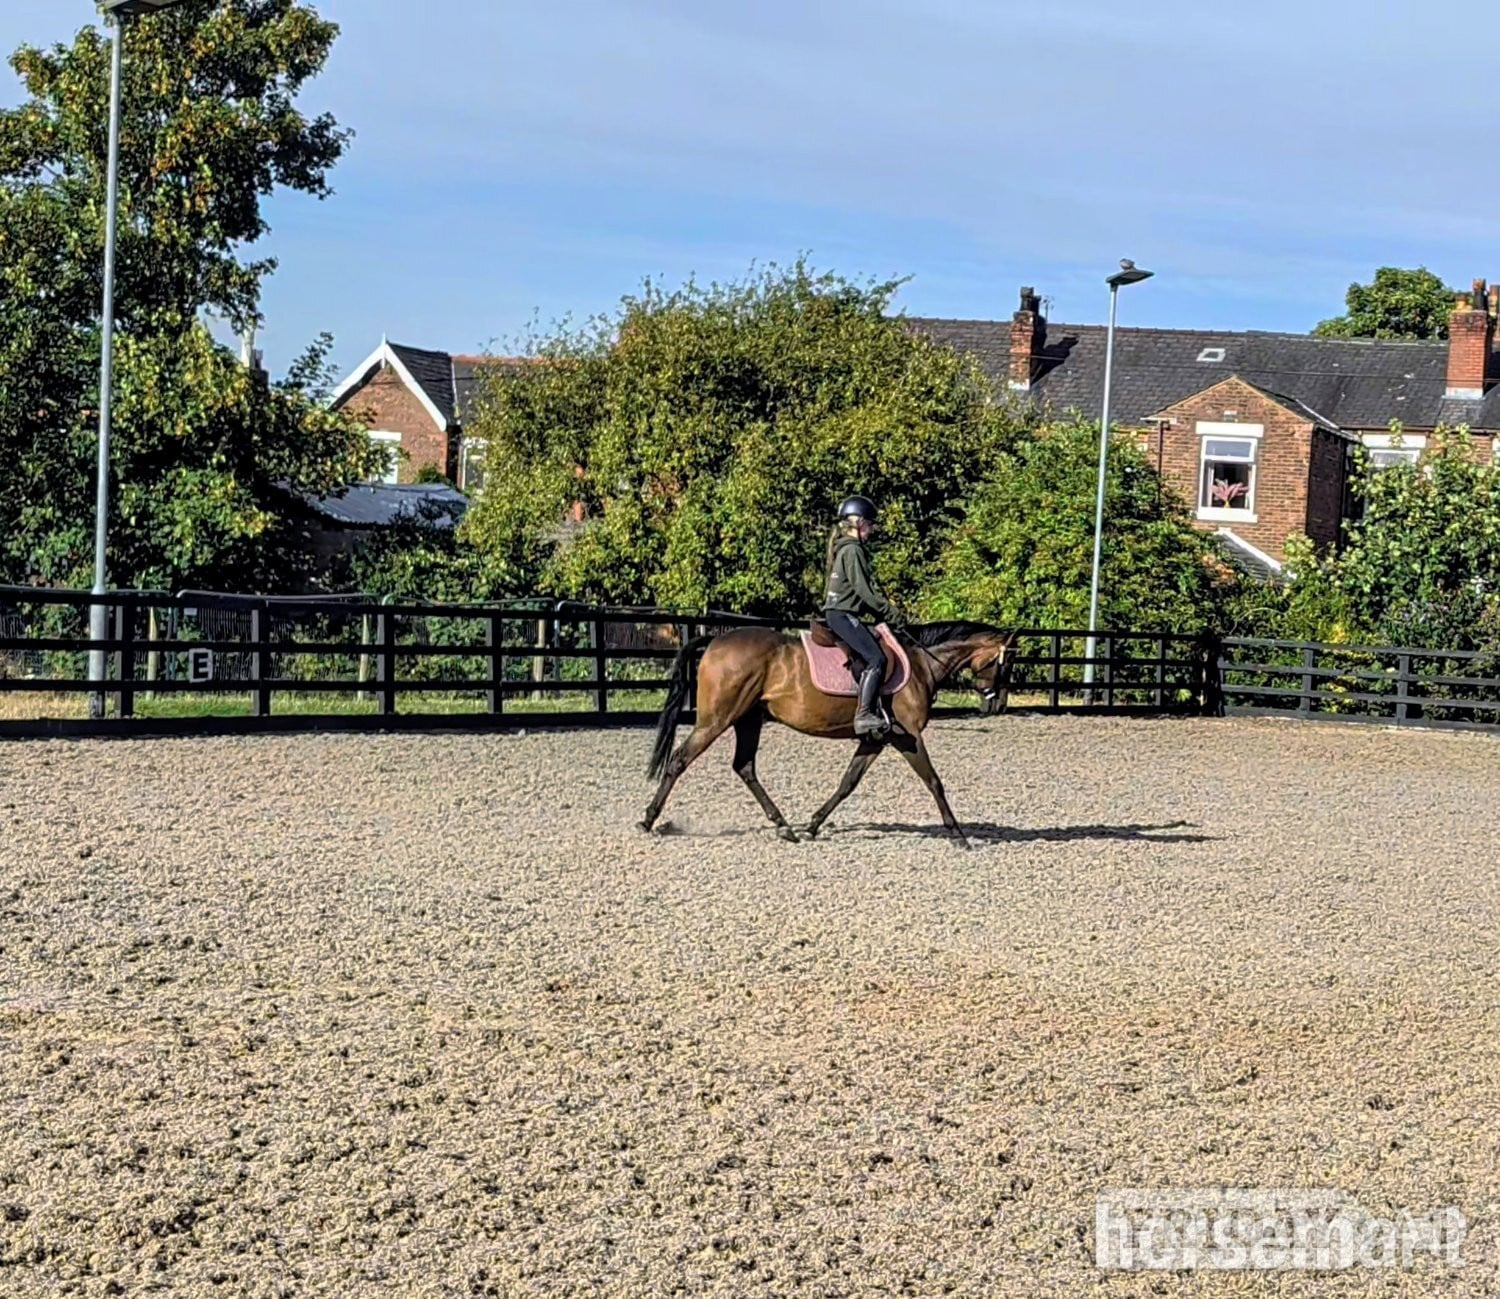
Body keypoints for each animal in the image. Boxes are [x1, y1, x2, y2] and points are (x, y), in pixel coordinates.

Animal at [639, 620, 1018, 850]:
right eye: (1007, 663)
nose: (996, 705)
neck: (921, 664)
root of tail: (717, 640)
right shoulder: (907, 737)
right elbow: (934, 782)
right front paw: (958, 835)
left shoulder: (875, 739)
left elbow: (847, 783)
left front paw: (813, 825)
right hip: (717, 719)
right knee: (680, 760)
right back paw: (648, 819)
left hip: (748, 719)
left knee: (744, 767)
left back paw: (785, 827)